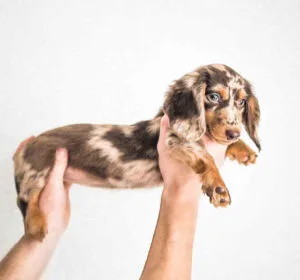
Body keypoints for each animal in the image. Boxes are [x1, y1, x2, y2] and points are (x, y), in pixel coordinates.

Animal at [12, 64, 260, 241]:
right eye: (213, 96)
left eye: (241, 102)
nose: (233, 133)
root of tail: (29, 143)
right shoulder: (174, 140)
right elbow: (206, 156)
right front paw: (218, 187)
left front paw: (243, 150)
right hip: (41, 167)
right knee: (26, 198)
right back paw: (36, 225)